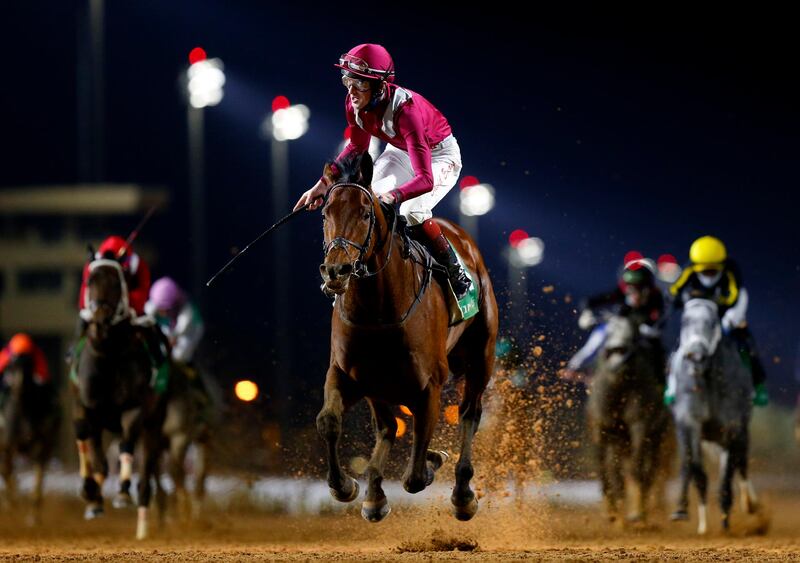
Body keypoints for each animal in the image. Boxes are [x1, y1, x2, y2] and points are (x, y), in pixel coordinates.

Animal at [316, 155, 496, 524]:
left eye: (365, 214)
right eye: (325, 213)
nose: (336, 271)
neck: (378, 310)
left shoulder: (428, 386)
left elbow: (414, 475)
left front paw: (432, 463)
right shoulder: (347, 374)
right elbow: (328, 421)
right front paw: (345, 487)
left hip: (480, 356)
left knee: (469, 414)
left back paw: (462, 493)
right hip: (378, 383)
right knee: (386, 427)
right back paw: (373, 494)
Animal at [584, 318, 672, 524]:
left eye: (633, 334)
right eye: (608, 332)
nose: (618, 350)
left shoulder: (640, 426)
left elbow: (637, 468)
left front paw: (636, 513)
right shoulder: (603, 432)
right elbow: (607, 472)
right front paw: (613, 512)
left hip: (656, 438)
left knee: (649, 471)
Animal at [668, 300, 756, 532]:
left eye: (713, 321)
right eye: (685, 320)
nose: (696, 357)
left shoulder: (732, 427)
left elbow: (727, 476)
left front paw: (725, 518)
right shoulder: (690, 421)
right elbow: (696, 468)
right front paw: (701, 522)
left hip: (742, 431)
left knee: (742, 463)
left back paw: (750, 503)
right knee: (686, 462)